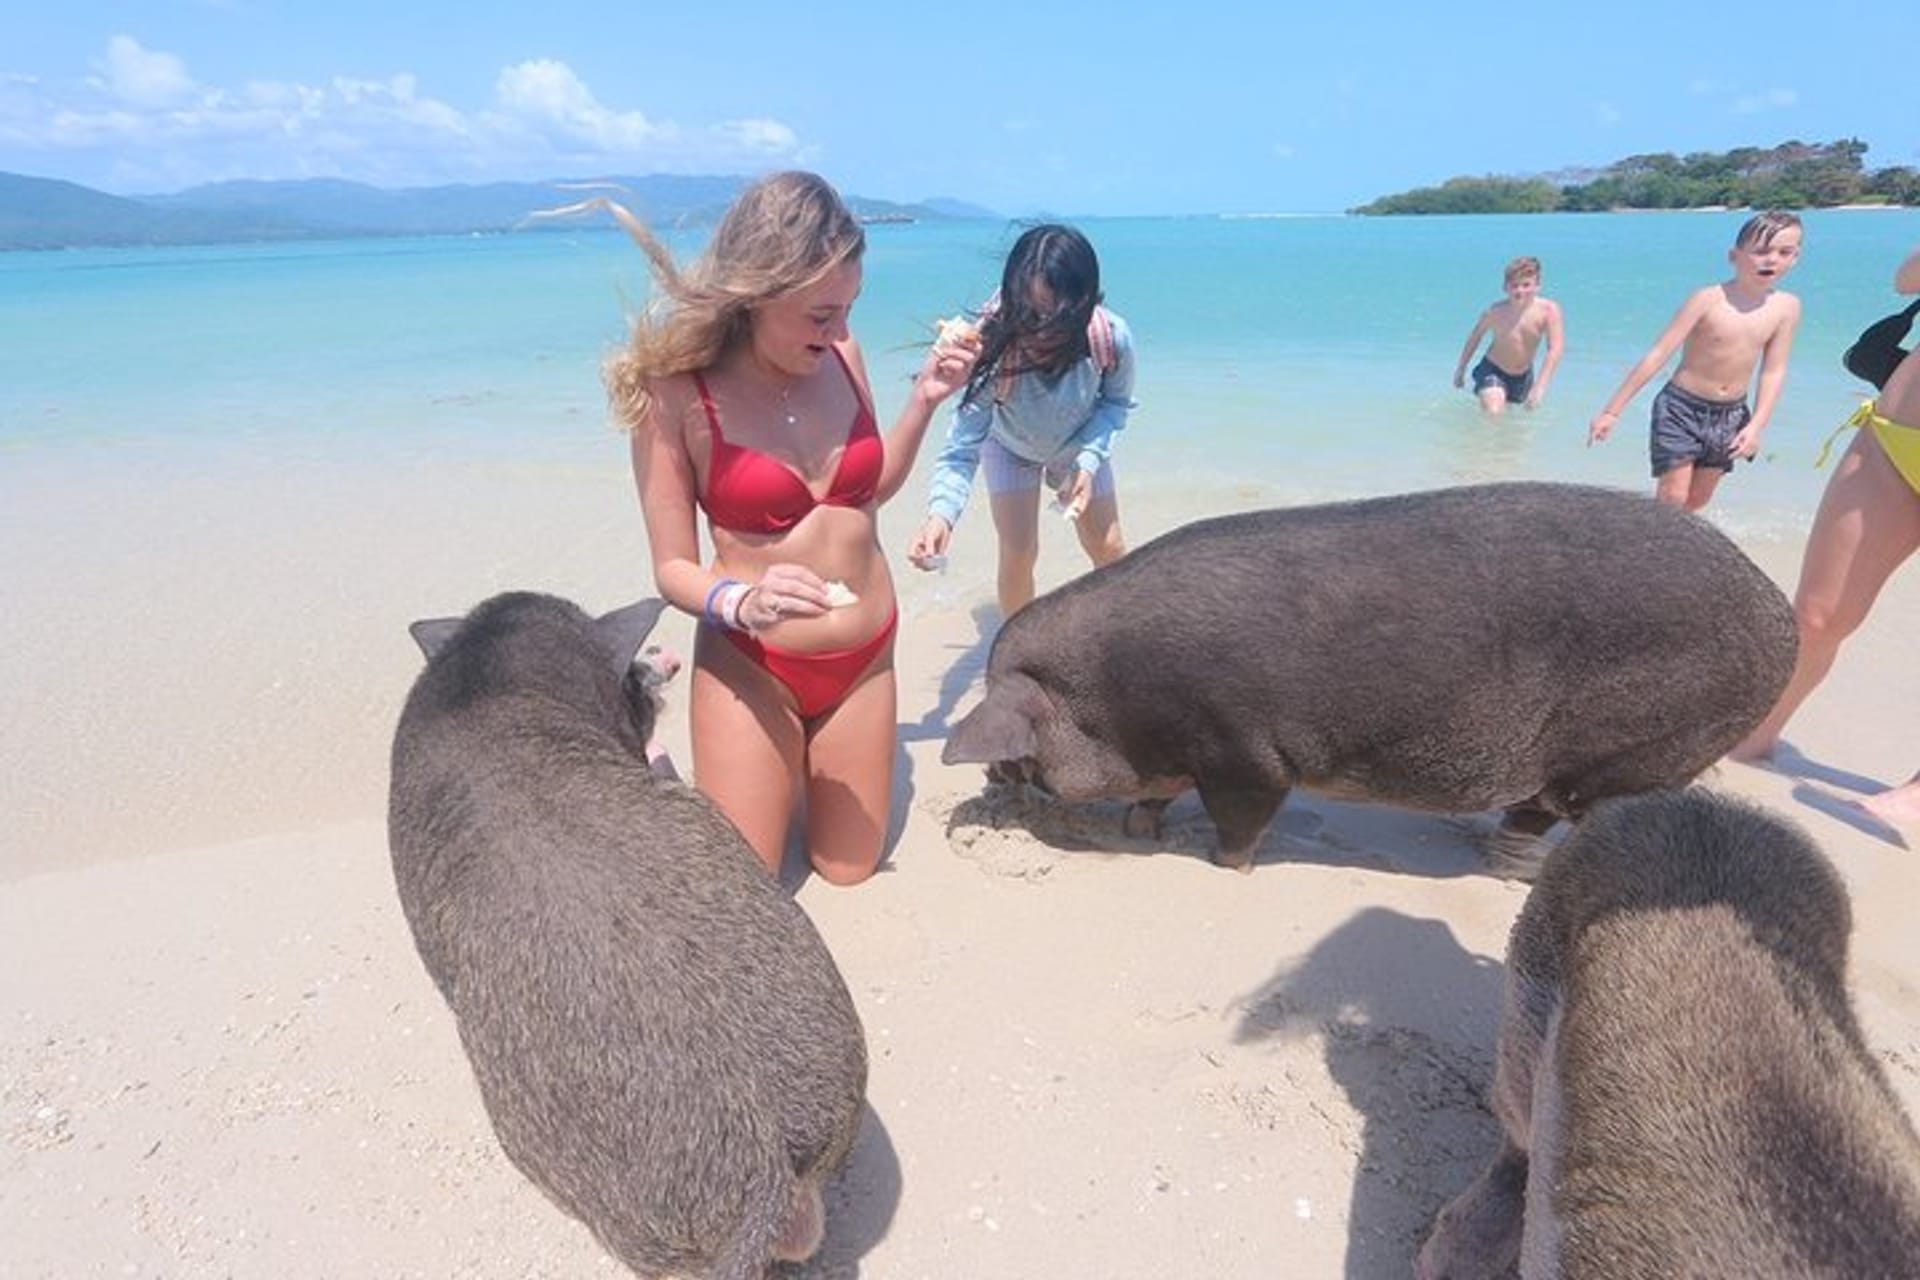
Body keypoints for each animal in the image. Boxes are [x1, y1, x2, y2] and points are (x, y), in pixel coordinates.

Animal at [943, 482, 1797, 871]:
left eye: (1022, 756)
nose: (988, 782)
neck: (1114, 697)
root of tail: (1780, 615)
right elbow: (1152, 798)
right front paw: (1139, 832)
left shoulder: (1247, 756)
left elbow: (1241, 822)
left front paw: (1219, 863)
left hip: (1644, 748)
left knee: (1565, 810)